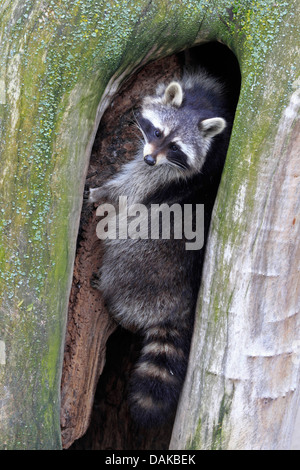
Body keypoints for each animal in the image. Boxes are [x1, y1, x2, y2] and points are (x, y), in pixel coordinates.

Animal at [89, 69, 234, 426]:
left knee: (127, 246)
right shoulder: (208, 88)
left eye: (176, 147)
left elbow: (129, 191)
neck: (200, 106)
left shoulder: (165, 176)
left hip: (141, 257)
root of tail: (179, 303)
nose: (150, 157)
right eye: (157, 131)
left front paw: (99, 191)